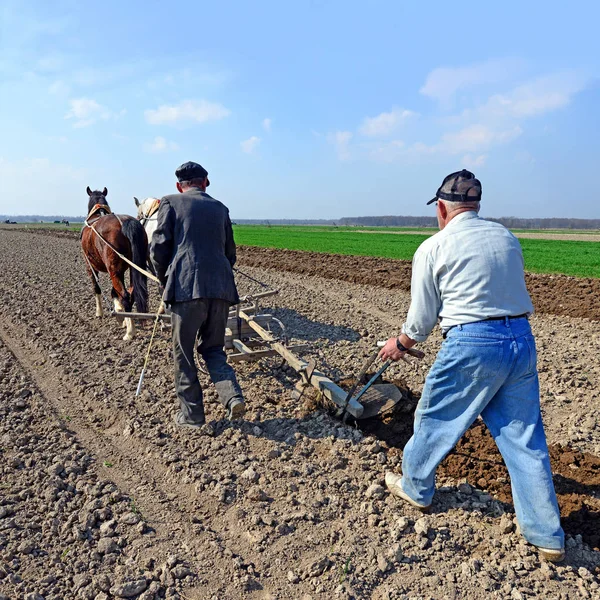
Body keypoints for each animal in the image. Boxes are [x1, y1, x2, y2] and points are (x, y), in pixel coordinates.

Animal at [80, 185, 148, 340]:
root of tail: (125, 223)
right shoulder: (121, 270)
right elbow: (114, 291)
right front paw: (119, 314)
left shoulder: (90, 266)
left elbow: (97, 288)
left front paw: (100, 313)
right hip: (132, 267)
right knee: (131, 293)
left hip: (113, 269)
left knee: (126, 295)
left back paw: (130, 333)